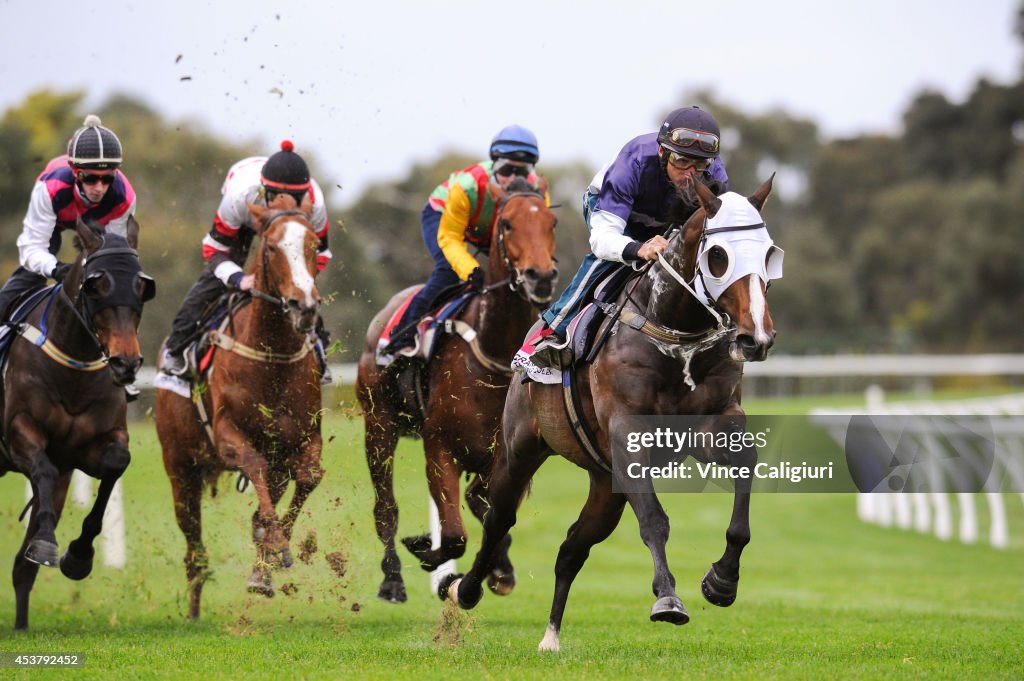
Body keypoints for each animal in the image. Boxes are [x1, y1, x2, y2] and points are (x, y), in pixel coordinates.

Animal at [1, 220, 153, 630]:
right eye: (96, 286)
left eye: (142, 287)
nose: (126, 363)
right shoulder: (18, 434)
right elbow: (43, 468)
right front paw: (47, 542)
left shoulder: (86, 452)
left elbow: (115, 464)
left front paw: (78, 555)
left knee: (21, 569)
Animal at [153, 195, 323, 614]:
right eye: (273, 246)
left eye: (313, 244)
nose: (304, 305)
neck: (272, 357)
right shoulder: (227, 434)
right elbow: (253, 464)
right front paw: (276, 545)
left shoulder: (302, 437)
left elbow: (308, 477)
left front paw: (271, 558)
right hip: (180, 468)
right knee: (194, 549)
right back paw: (194, 607)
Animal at [354, 175, 561, 602]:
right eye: (508, 224)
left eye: (552, 223)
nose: (541, 277)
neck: (491, 358)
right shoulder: (439, 448)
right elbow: (452, 535)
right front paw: (426, 551)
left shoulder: (505, 458)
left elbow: (488, 508)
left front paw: (499, 568)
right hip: (378, 425)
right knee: (385, 508)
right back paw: (392, 578)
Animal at [448, 175, 782, 647]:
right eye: (719, 257)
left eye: (769, 254)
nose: (757, 338)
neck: (674, 330)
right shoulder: (628, 436)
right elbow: (655, 521)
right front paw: (668, 599)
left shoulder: (713, 423)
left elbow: (745, 473)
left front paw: (722, 581)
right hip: (521, 448)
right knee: (500, 518)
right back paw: (467, 588)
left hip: (606, 483)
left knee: (572, 548)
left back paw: (551, 635)